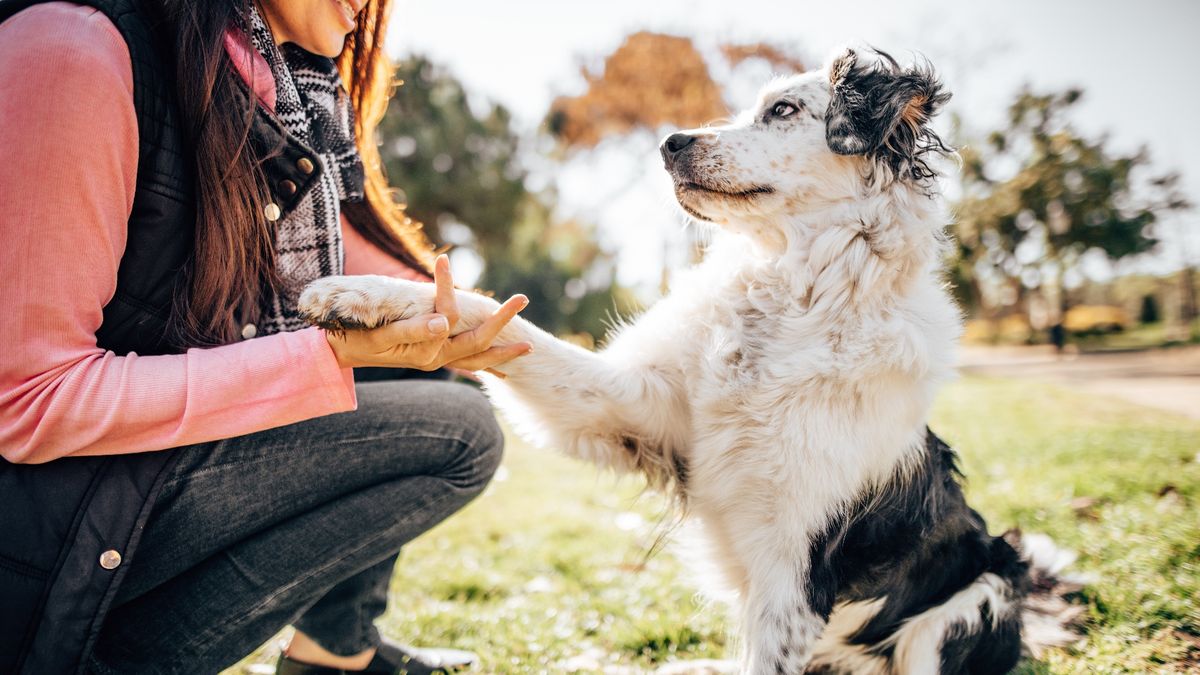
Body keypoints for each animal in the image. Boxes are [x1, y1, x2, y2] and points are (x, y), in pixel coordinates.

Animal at [297, 48, 1080, 672]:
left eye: (783, 110)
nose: (669, 143)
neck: (789, 293)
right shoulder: (636, 410)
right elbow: (498, 317)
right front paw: (365, 295)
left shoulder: (793, 574)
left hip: (962, 609)